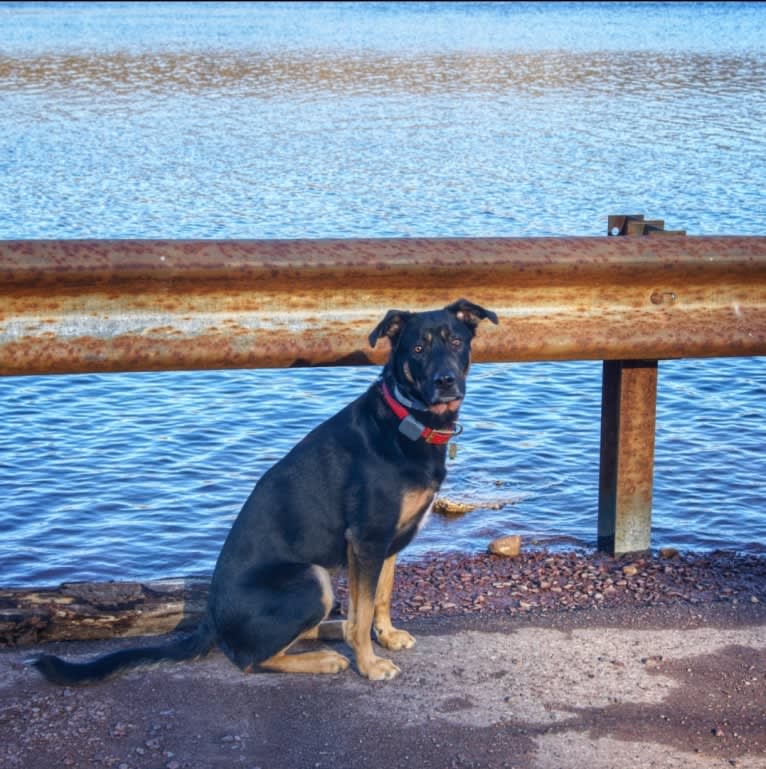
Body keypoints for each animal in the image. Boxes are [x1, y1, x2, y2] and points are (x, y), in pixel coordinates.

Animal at [31, 296, 498, 680]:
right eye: (417, 349)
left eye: (456, 342)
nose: (445, 381)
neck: (408, 419)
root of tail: (212, 621)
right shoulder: (367, 538)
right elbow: (365, 609)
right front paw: (369, 665)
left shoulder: (388, 541)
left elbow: (379, 598)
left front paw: (385, 634)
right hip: (310, 579)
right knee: (252, 659)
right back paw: (325, 657)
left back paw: (332, 630)